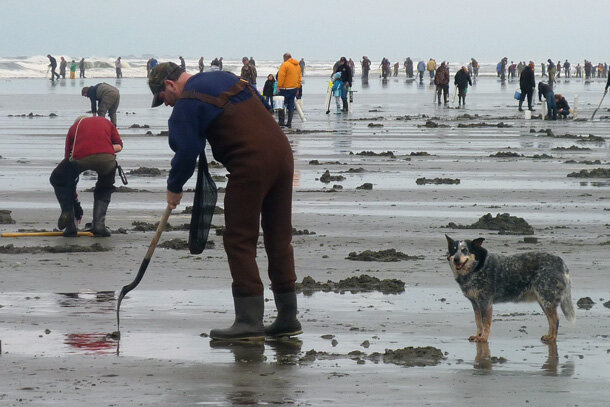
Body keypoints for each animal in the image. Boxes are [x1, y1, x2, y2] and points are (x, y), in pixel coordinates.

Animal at [444, 236, 572, 344]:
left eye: (465, 250)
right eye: (454, 250)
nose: (456, 259)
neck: (476, 268)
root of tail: (560, 262)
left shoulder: (485, 302)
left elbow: (486, 323)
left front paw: (483, 338)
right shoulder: (475, 303)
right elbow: (478, 322)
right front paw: (478, 335)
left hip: (546, 299)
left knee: (555, 319)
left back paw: (552, 338)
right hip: (543, 300)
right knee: (551, 320)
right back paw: (549, 336)